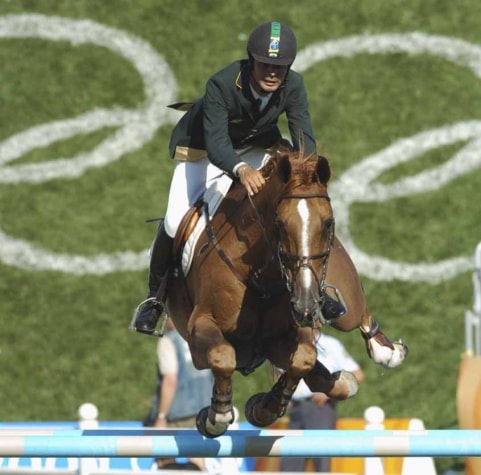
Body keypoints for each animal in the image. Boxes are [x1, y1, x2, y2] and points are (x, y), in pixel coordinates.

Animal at [164, 148, 404, 438]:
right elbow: (223, 356)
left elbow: (304, 359)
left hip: (345, 303)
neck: (260, 273)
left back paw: (386, 352)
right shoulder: (200, 326)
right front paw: (217, 416)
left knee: (357, 316)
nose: (306, 304)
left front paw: (264, 407)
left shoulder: (289, 331)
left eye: (328, 223)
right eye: (279, 224)